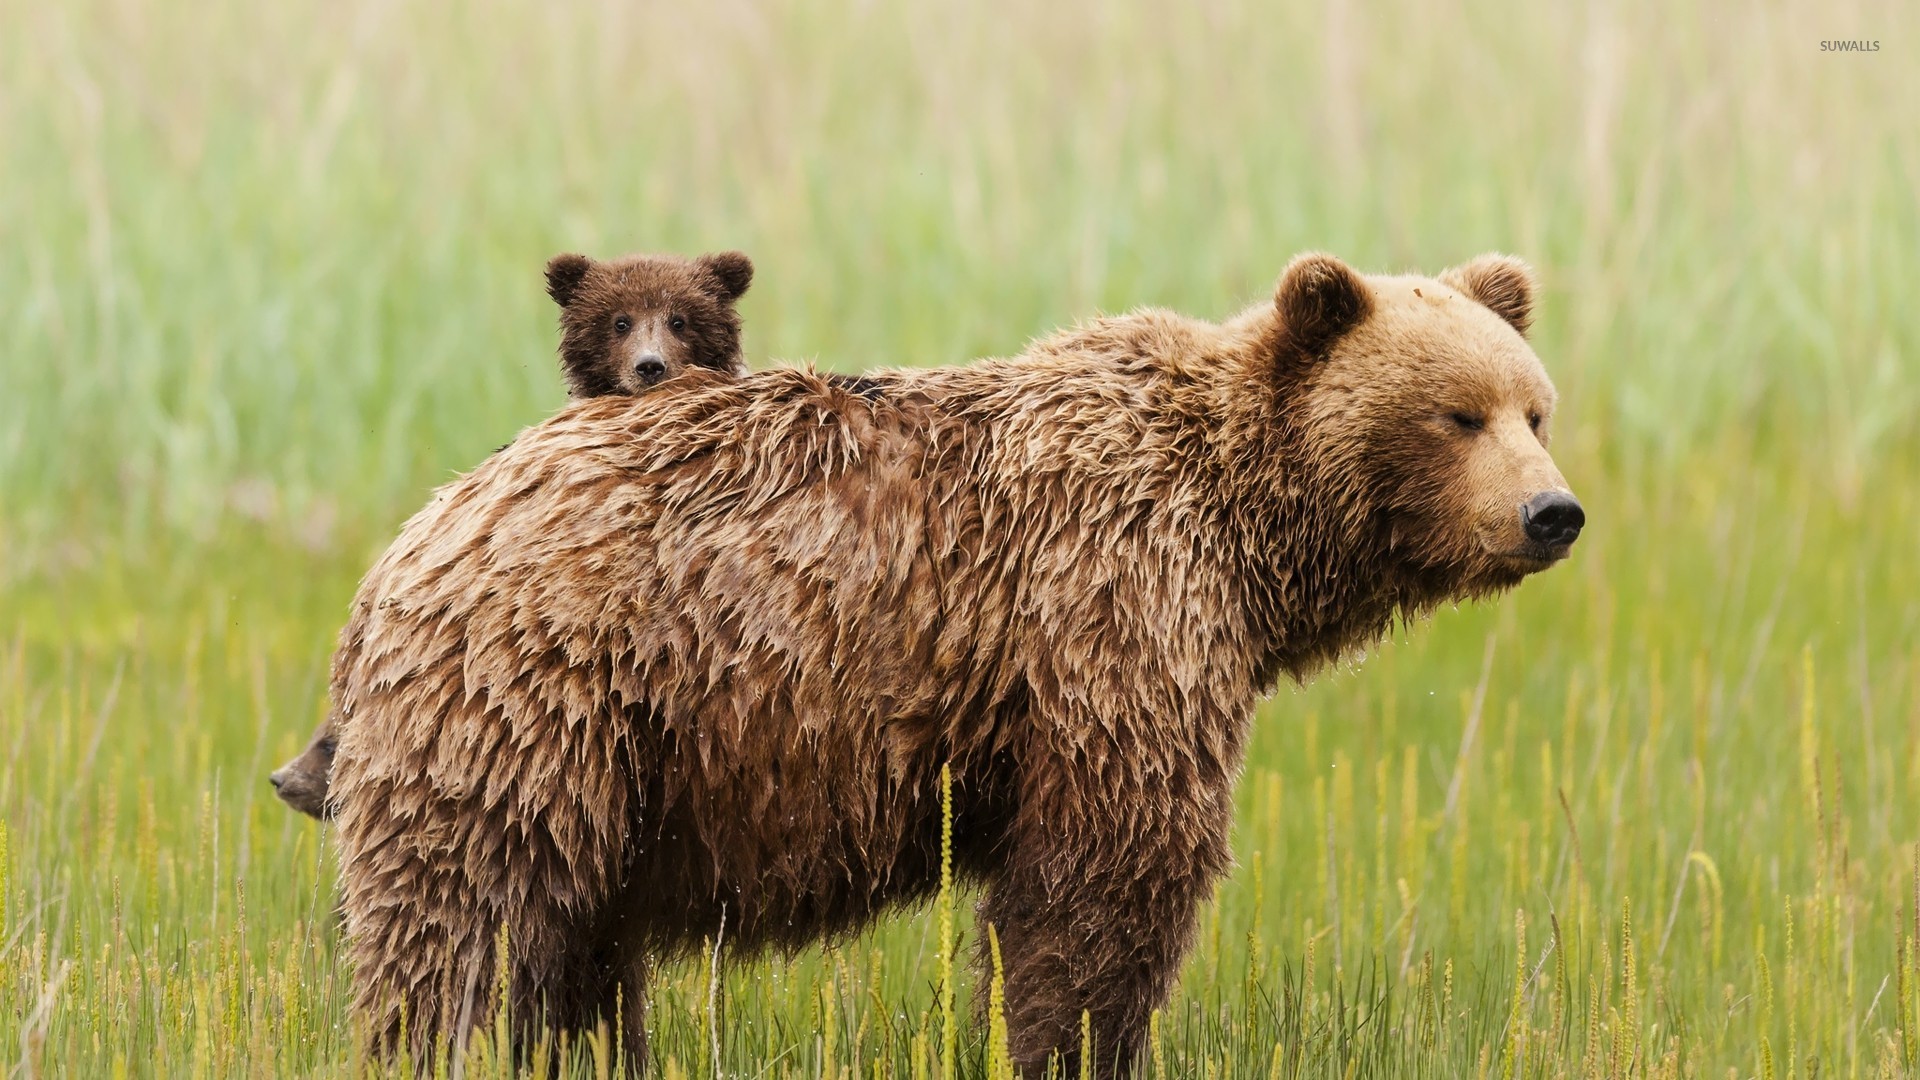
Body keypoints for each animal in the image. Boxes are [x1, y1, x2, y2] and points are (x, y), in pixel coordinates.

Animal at [328, 252, 1582, 1077]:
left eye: (1536, 410)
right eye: (1456, 415)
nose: (1551, 514)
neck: (1241, 534)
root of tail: (413, 536)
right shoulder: (1110, 607)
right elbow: (1108, 878)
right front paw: (1065, 1043)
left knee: (572, 948)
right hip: (543, 695)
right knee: (464, 916)